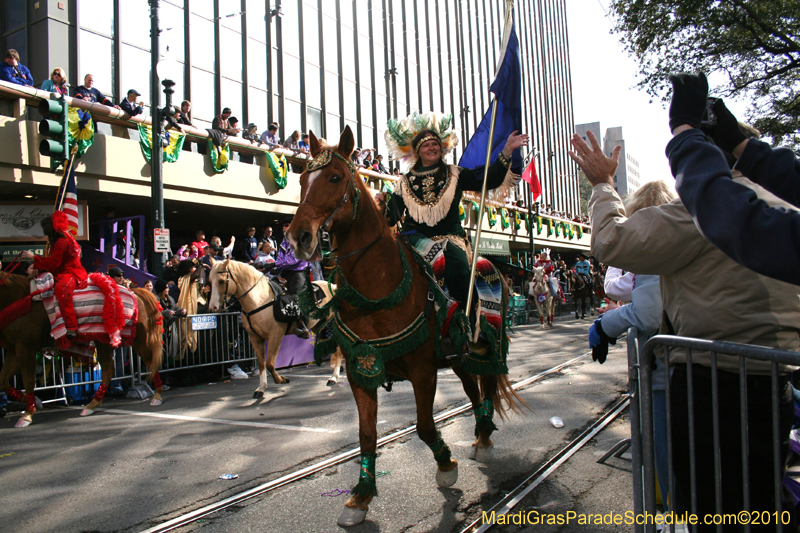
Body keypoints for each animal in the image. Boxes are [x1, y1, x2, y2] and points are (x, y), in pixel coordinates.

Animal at [206, 258, 338, 394]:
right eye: (210, 281)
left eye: (221, 281)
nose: (213, 307)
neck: (260, 299)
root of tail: (333, 286)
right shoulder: (255, 337)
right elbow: (262, 363)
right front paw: (261, 388)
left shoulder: (275, 336)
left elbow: (270, 363)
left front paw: (282, 379)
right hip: (318, 325)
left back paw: (333, 377)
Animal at [286, 127, 520, 524]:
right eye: (302, 179)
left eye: (334, 178)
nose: (298, 237)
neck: (377, 288)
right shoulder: (361, 370)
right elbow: (366, 436)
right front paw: (359, 498)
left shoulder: (423, 370)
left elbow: (424, 426)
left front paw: (446, 467)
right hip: (457, 357)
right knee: (472, 390)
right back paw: (479, 431)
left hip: (486, 342)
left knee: (487, 384)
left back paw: (485, 439)